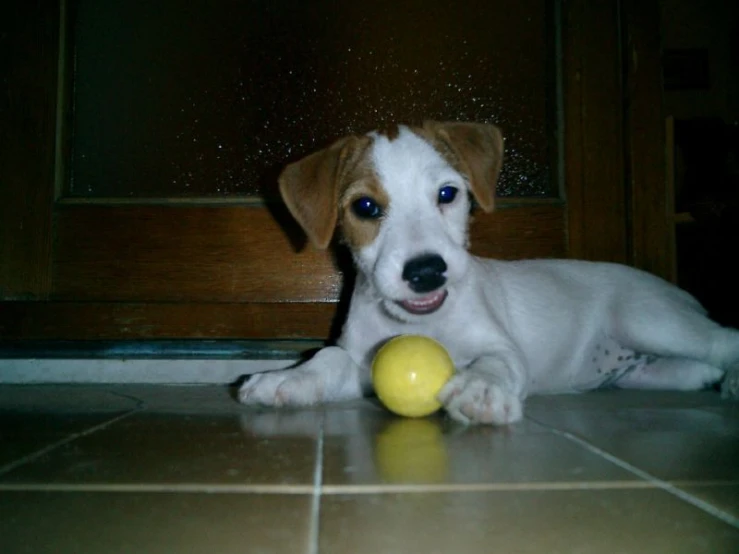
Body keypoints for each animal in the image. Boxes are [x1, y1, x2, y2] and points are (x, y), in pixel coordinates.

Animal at [241, 121, 739, 422]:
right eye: (365, 207)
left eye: (447, 194)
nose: (427, 272)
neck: (427, 323)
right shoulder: (360, 360)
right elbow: (328, 358)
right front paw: (286, 377)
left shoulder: (502, 346)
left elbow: (495, 362)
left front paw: (479, 389)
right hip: (650, 369)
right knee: (699, 369)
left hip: (648, 320)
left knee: (724, 339)